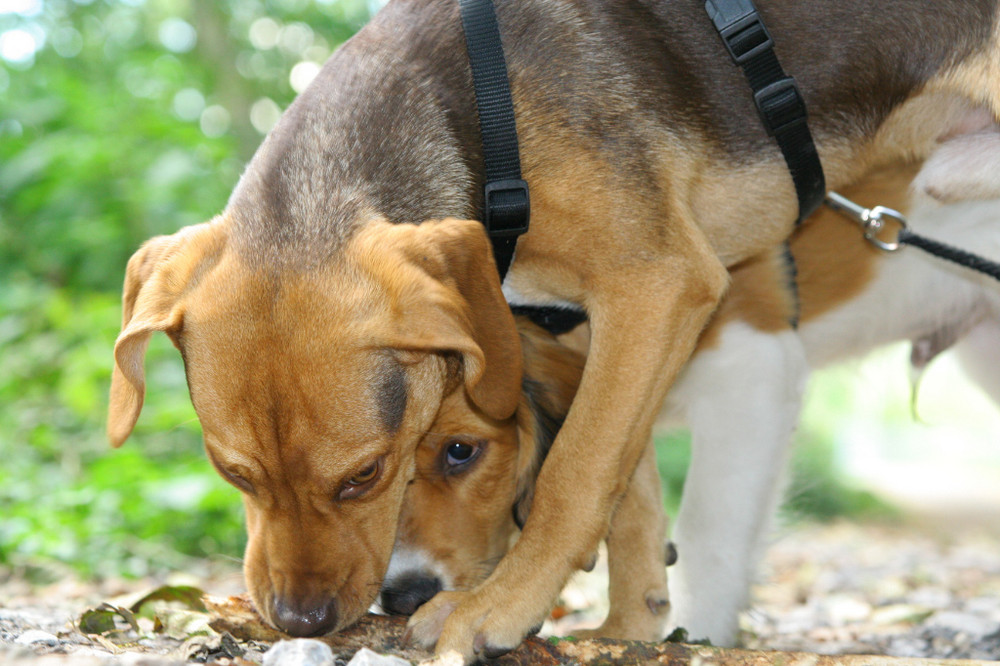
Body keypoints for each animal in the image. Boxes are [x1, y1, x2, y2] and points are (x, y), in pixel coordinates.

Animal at [105, 0, 1000, 652]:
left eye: (363, 475)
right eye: (234, 475)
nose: (299, 624)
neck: (478, 114)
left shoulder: (672, 295)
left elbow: (586, 478)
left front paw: (501, 609)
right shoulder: (621, 336)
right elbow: (628, 489)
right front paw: (633, 628)